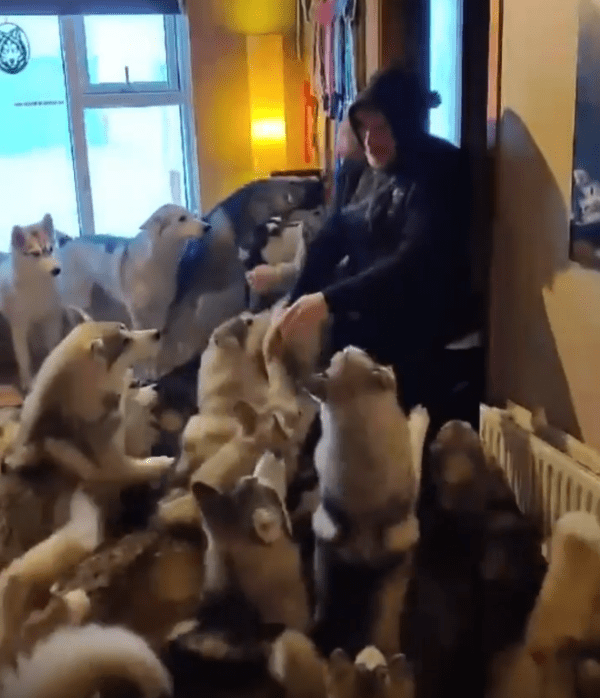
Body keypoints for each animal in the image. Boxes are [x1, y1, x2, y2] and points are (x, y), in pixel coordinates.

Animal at [0, 214, 64, 391]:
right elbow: (23, 357)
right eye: (35, 254)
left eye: (50, 249)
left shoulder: (51, 319)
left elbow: (53, 347)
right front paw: (28, 381)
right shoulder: (19, 327)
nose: (57, 270)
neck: (38, 284)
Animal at [2, 321, 174, 489]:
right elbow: (138, 468)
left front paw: (143, 393)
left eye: (126, 328)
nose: (158, 333)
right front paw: (162, 463)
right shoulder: (111, 466)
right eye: (125, 342)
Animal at [57, 204, 209, 334]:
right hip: (79, 295)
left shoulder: (161, 306)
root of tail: (67, 243)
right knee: (71, 309)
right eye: (182, 219)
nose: (208, 226)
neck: (159, 259)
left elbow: (158, 328)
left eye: (193, 215)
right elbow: (140, 328)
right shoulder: (136, 309)